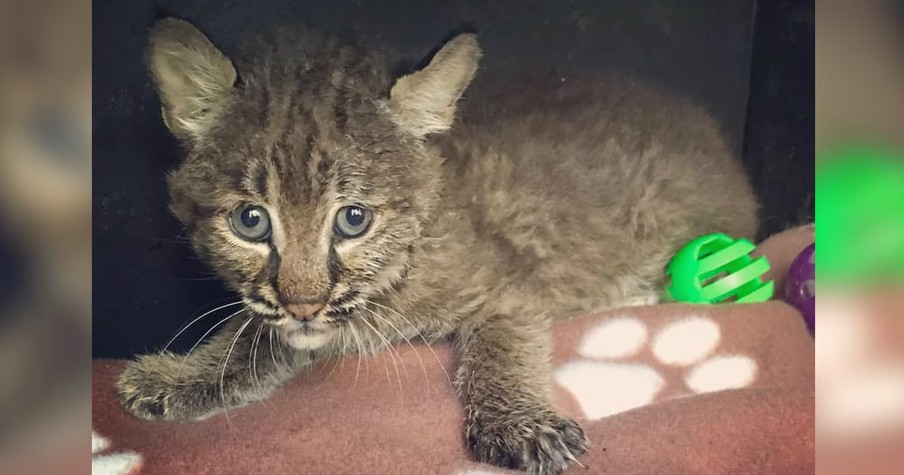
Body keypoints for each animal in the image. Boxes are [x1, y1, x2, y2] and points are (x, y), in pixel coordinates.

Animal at [118, 18, 756, 475]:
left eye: (353, 220)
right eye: (251, 222)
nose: (303, 304)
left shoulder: (511, 287)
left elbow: (498, 346)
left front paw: (519, 422)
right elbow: (253, 333)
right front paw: (181, 378)